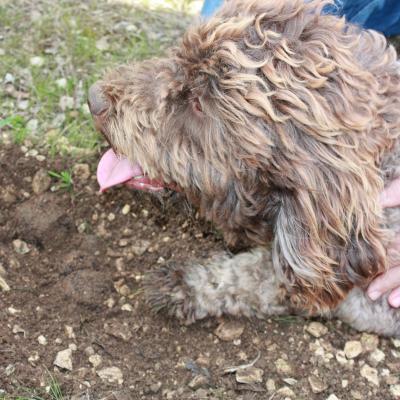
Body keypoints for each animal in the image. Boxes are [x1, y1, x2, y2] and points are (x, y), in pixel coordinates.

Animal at [89, 0, 400, 336]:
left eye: (198, 103)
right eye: (179, 58)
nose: (94, 100)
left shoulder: (368, 298)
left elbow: (258, 277)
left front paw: (185, 286)